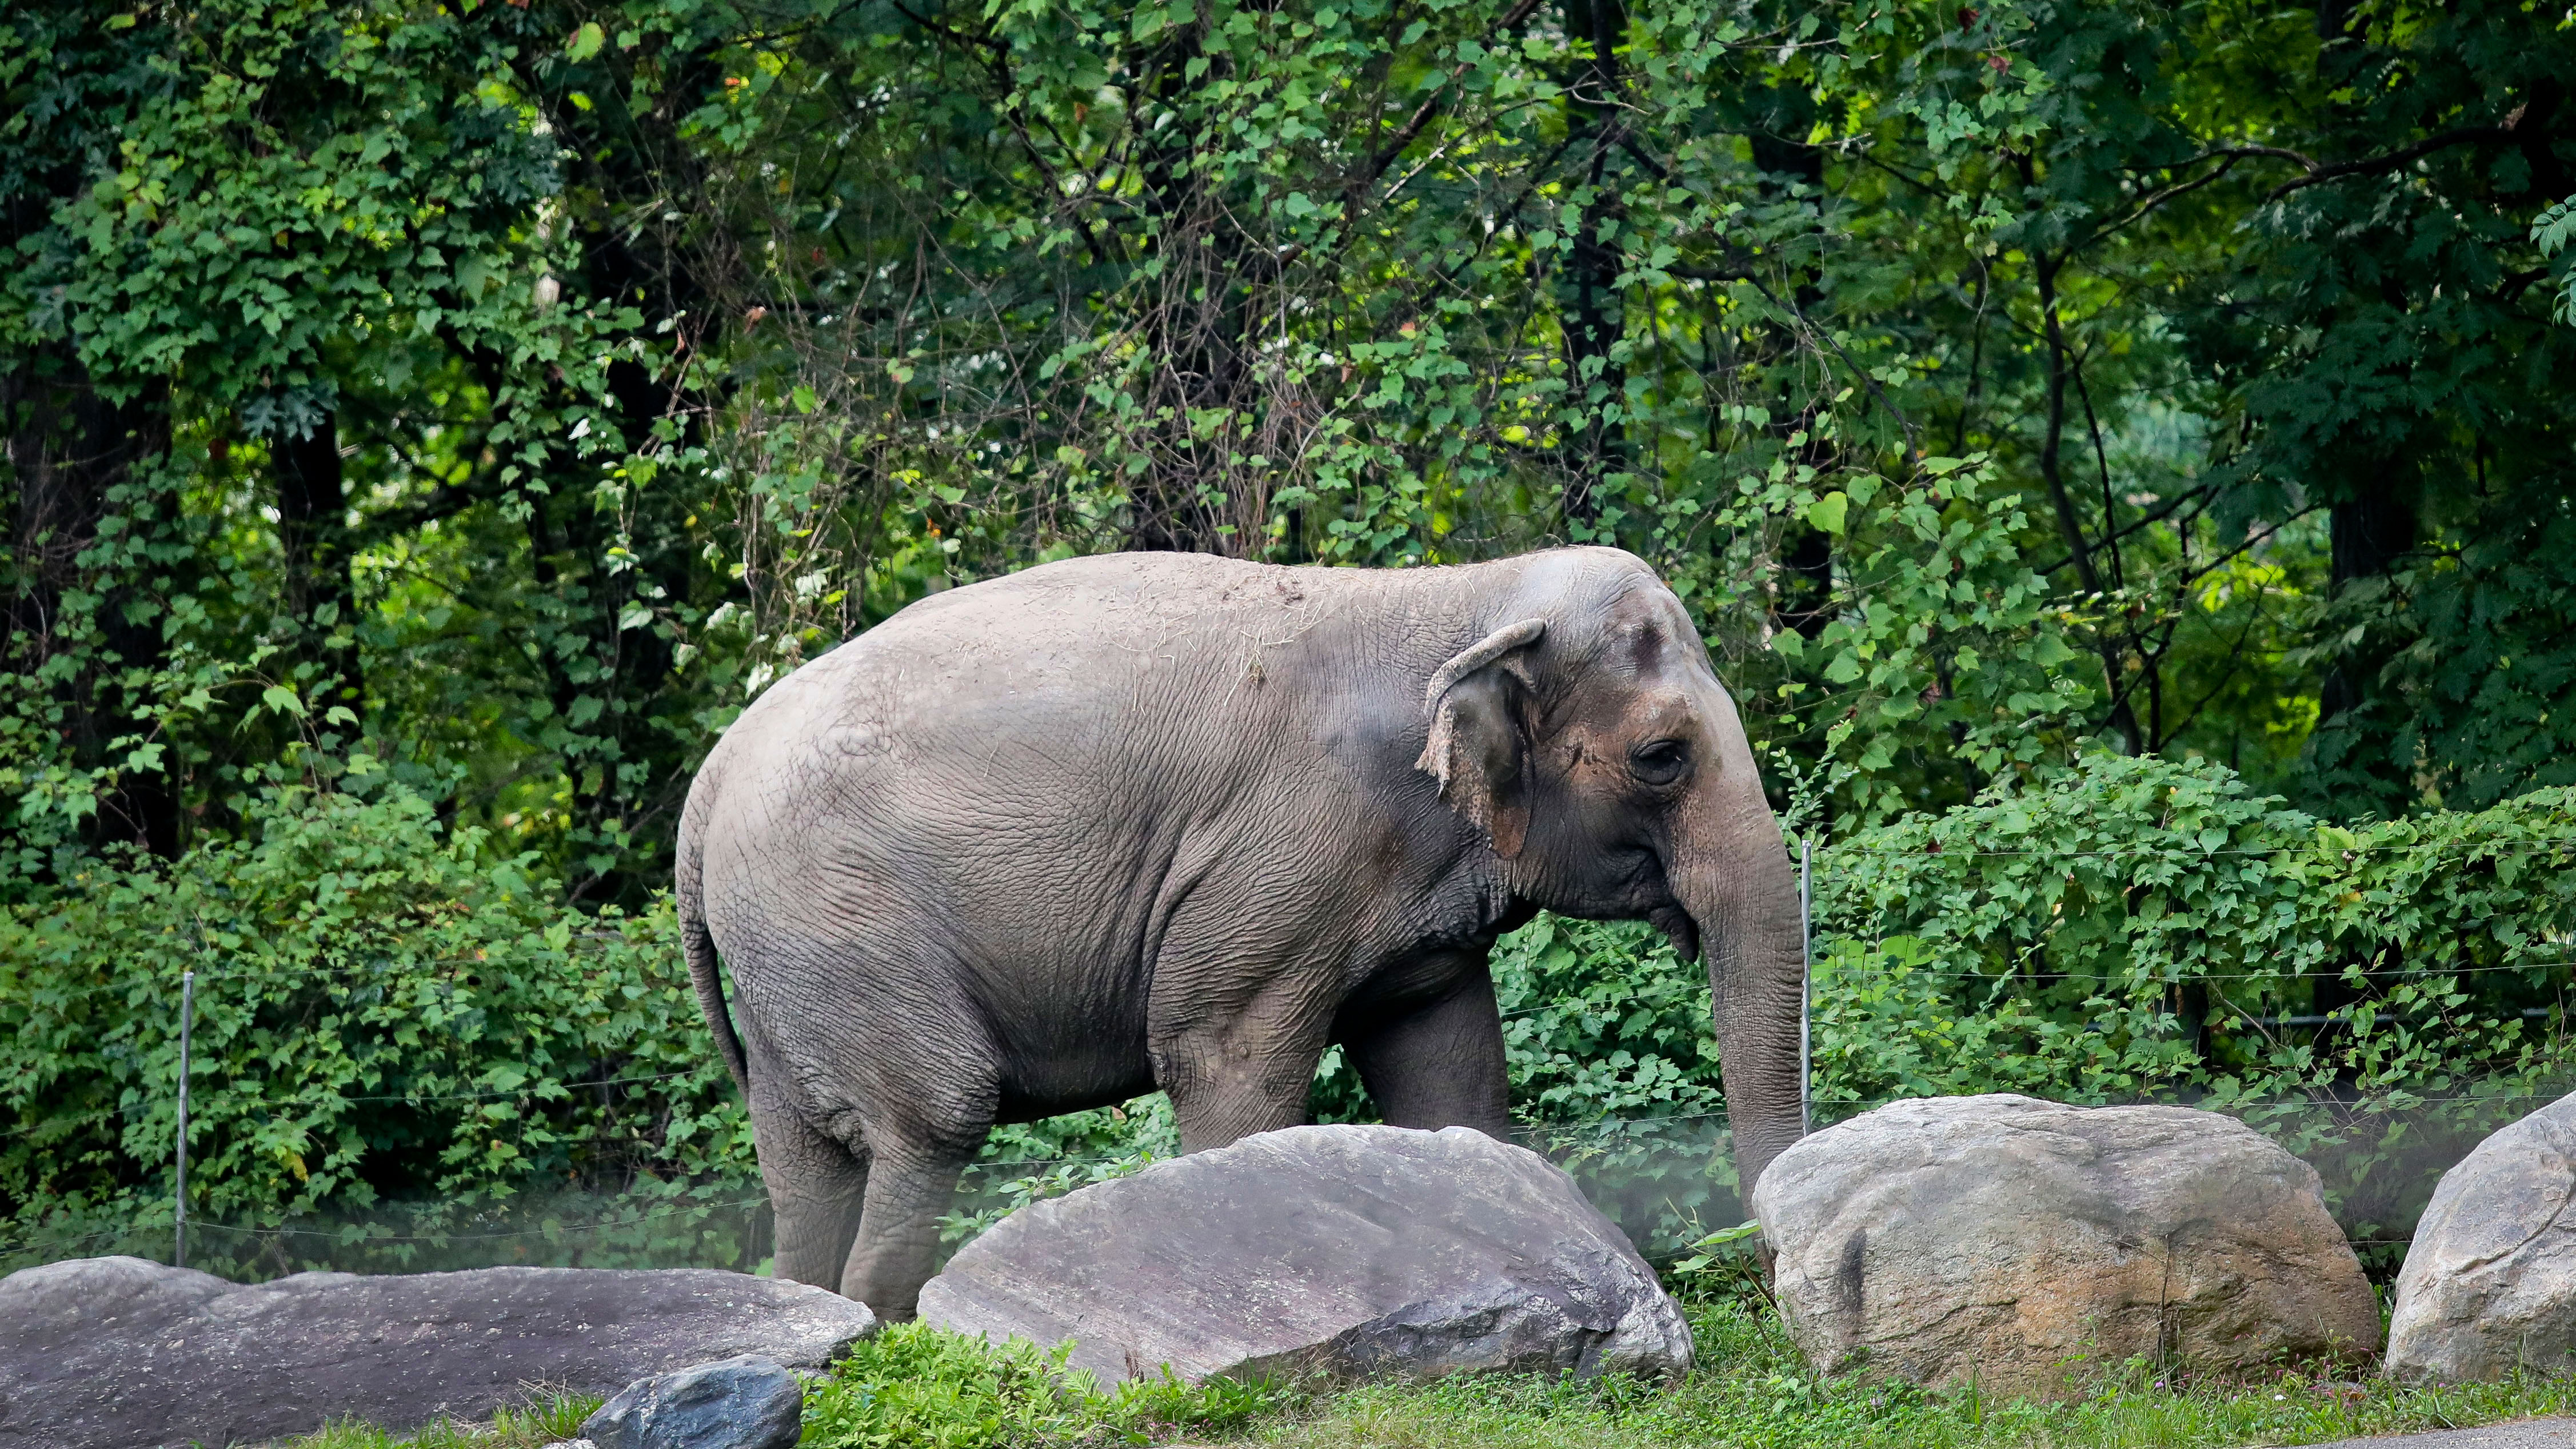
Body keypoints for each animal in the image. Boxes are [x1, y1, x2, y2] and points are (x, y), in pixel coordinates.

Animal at [685, 541, 1813, 1310]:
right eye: (1661, 757)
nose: (1763, 1276)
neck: (1459, 593)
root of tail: (709, 780)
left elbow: (1447, 1065)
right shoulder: (1279, 857)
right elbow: (1224, 1062)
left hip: (789, 959)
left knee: (802, 1162)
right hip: (843, 920)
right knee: (934, 1117)